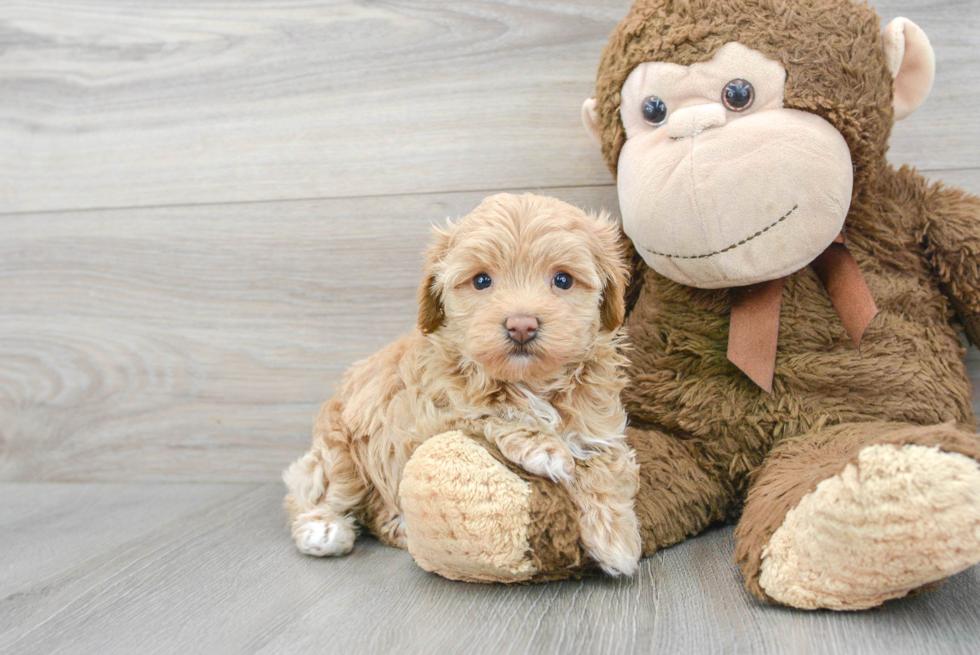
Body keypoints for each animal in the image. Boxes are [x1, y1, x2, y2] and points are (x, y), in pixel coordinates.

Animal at [284, 192, 644, 576]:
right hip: (340, 450)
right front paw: (545, 448)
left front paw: (616, 538)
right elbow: (487, 412)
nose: (521, 325)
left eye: (563, 280)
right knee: (316, 490)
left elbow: (606, 465)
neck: (529, 383)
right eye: (482, 281)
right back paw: (322, 528)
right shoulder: (429, 414)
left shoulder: (599, 426)